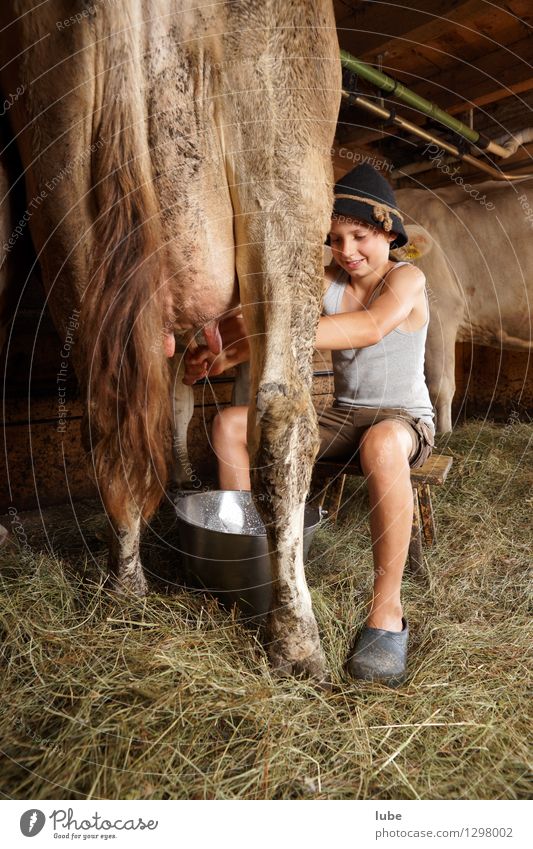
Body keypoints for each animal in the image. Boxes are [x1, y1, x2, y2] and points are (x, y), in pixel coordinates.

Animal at [0, 0, 340, 676]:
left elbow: (175, 400)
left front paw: (182, 476)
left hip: (64, 188)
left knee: (111, 413)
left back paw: (125, 586)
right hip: (285, 161)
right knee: (282, 414)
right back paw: (297, 641)